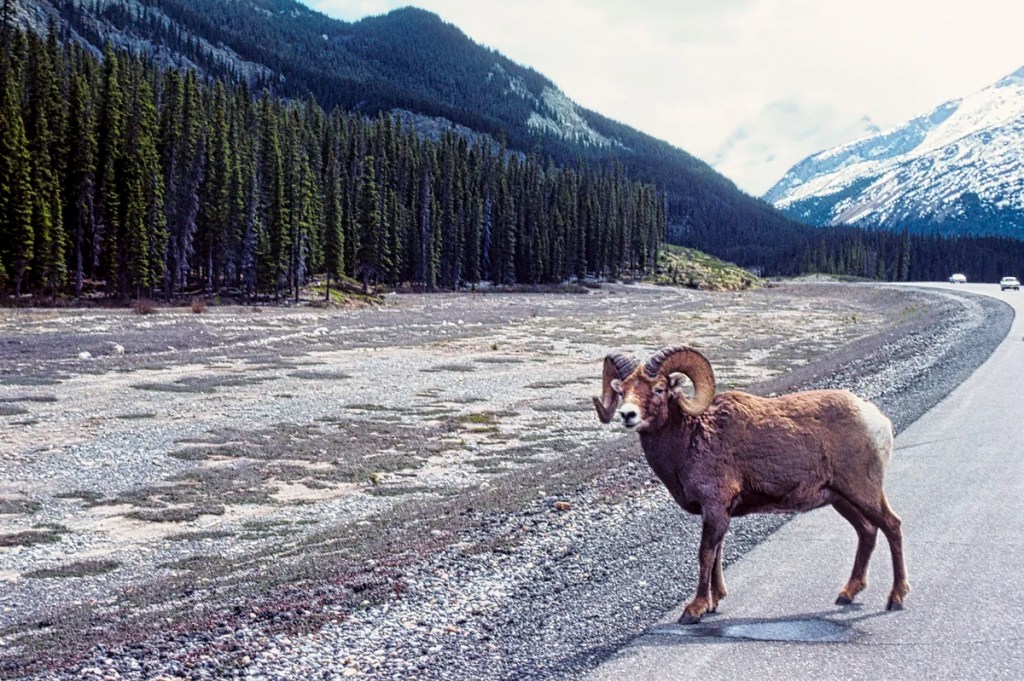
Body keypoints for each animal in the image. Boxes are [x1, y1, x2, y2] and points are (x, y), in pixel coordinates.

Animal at [593, 345, 909, 624]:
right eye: (621, 390)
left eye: (658, 389)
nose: (627, 415)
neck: (691, 438)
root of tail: (876, 419)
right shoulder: (719, 514)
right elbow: (717, 553)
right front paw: (714, 602)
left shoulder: (715, 509)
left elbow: (705, 554)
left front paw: (694, 610)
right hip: (841, 499)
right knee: (867, 531)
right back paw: (847, 594)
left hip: (863, 492)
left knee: (891, 526)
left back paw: (896, 598)